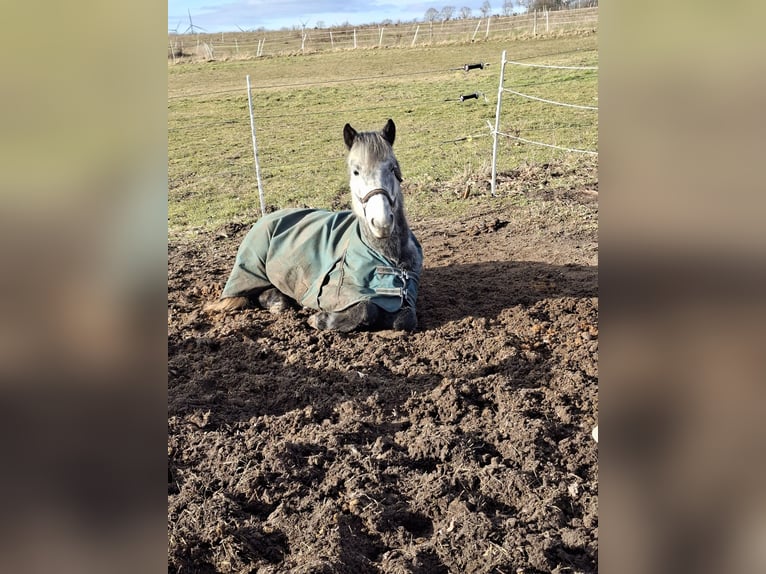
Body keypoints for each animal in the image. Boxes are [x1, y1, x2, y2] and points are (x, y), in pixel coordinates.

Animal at [204, 119, 423, 332]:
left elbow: (406, 319)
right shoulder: (334, 295)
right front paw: (320, 319)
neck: (384, 256)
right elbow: (367, 309)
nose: (381, 223)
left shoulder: (404, 298)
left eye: (393, 168)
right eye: (355, 172)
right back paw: (277, 302)